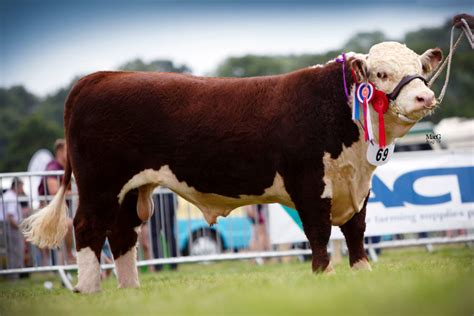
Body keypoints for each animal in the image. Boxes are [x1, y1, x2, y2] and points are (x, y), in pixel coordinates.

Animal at [23, 40, 444, 292]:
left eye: (420, 69)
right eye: (381, 74)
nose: (424, 97)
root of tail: (100, 77)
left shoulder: (357, 187)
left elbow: (356, 231)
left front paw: (362, 274)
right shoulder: (309, 183)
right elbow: (319, 232)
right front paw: (324, 275)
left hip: (130, 189)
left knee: (122, 233)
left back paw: (130, 293)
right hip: (100, 183)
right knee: (87, 228)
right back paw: (91, 291)